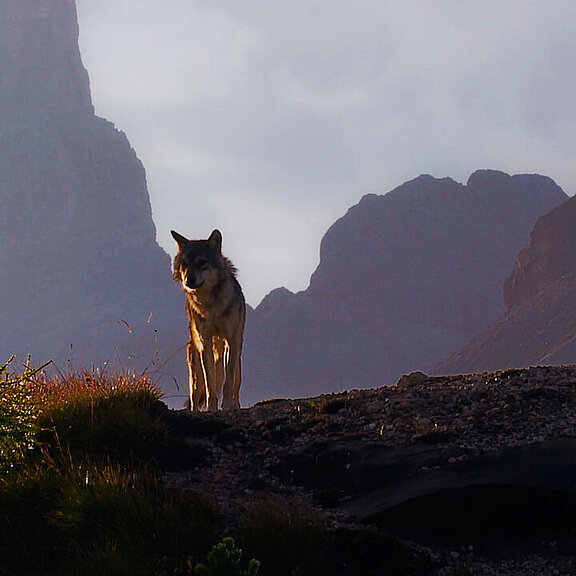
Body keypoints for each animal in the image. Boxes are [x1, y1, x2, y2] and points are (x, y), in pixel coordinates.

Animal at [169, 227, 245, 412]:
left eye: (202, 262)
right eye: (184, 264)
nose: (189, 280)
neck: (211, 306)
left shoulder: (230, 341)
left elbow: (227, 382)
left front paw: (227, 406)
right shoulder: (205, 342)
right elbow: (210, 384)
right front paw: (212, 408)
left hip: (236, 355)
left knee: (235, 383)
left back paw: (236, 406)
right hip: (195, 361)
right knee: (195, 394)